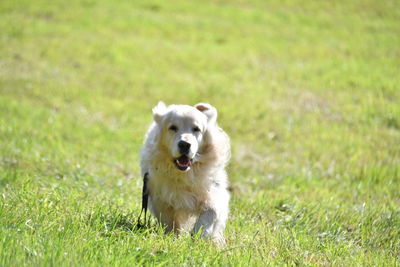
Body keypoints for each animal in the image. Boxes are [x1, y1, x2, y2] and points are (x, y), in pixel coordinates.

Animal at [140, 102, 230, 247]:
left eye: (196, 129)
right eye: (172, 127)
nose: (184, 144)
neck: (185, 173)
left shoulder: (213, 192)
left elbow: (211, 213)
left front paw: (200, 237)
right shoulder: (161, 198)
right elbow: (169, 222)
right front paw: (173, 238)